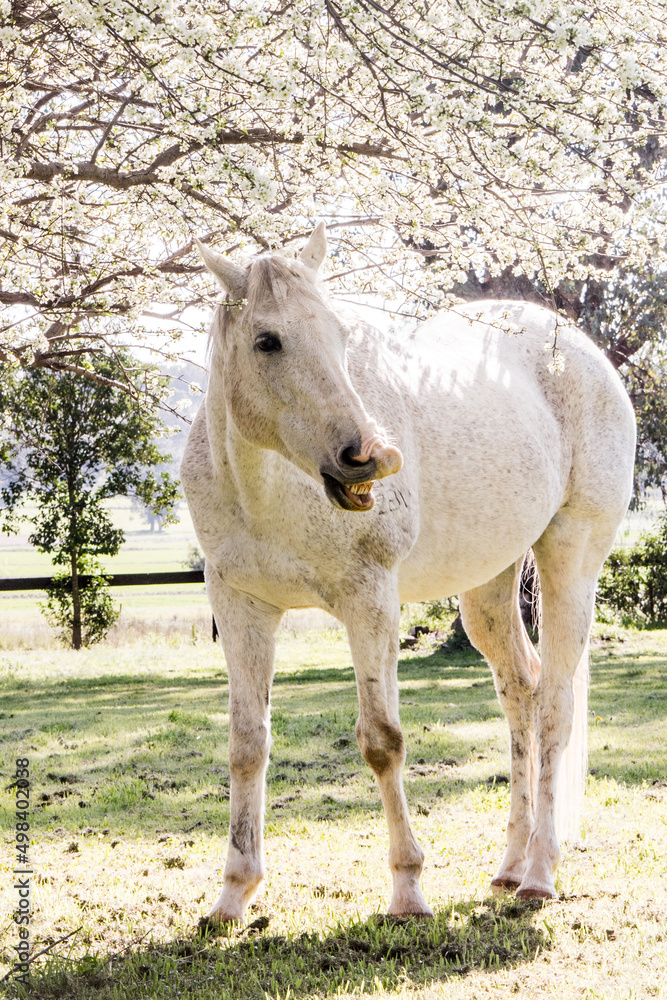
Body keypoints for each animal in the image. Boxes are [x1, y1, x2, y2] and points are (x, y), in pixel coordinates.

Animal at [181, 224, 635, 924]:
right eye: (267, 341)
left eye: (341, 335)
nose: (369, 456)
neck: (269, 488)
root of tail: (584, 353)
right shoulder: (240, 607)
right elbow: (247, 743)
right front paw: (233, 893)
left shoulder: (369, 602)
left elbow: (382, 740)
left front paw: (407, 890)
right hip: (488, 587)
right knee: (523, 691)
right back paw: (510, 865)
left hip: (571, 560)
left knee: (556, 703)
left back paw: (539, 874)